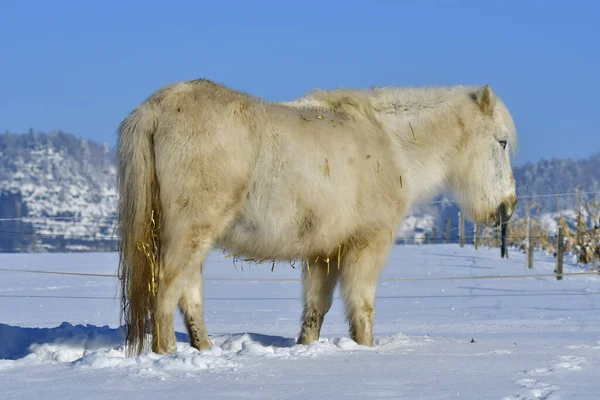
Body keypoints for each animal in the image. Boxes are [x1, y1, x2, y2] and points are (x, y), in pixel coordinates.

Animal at [116, 79, 516, 354]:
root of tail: (156, 109)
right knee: (167, 286)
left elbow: (315, 310)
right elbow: (362, 307)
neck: (392, 144)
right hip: (191, 230)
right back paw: (168, 351)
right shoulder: (366, 244)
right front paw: (365, 348)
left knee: (189, 293)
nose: (508, 207)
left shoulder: (323, 253)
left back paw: (205, 349)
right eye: (501, 142)